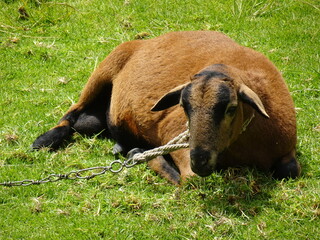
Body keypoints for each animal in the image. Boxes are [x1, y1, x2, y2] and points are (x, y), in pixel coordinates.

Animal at [32, 31, 300, 185]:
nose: (199, 160)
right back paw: (44, 141)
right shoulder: (172, 134)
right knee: (71, 114)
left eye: (231, 108)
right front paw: (145, 156)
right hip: (106, 67)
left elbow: (290, 171)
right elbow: (189, 180)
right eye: (184, 106)